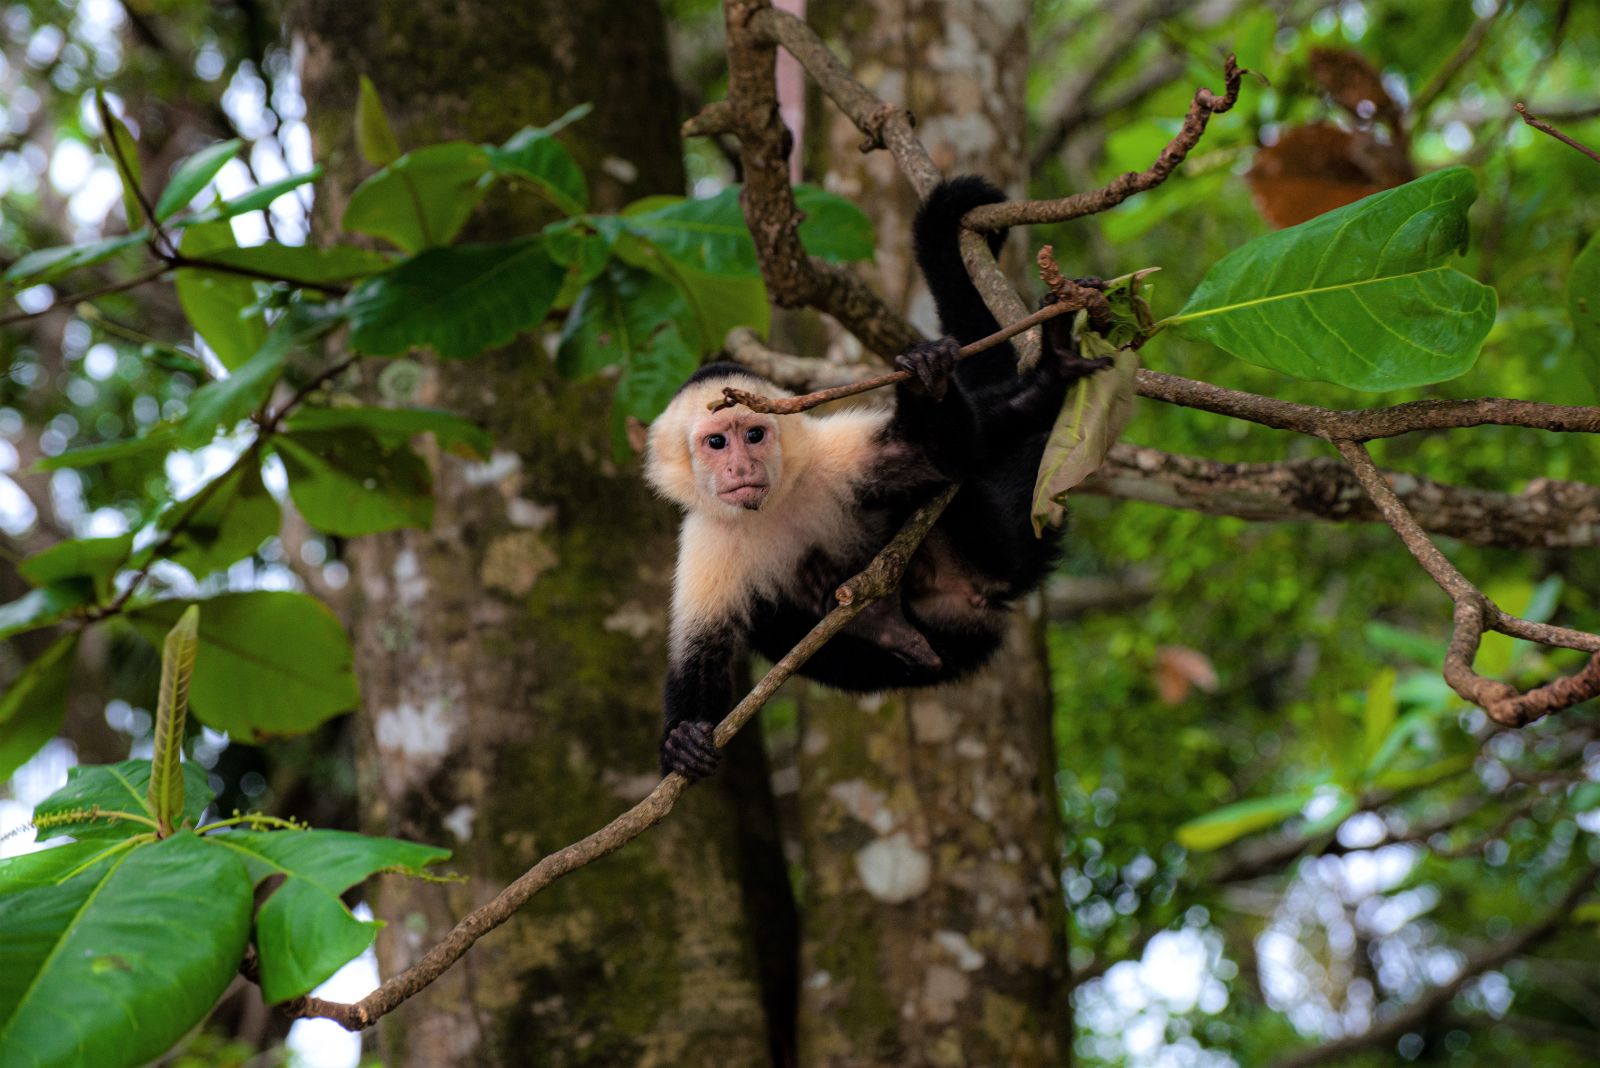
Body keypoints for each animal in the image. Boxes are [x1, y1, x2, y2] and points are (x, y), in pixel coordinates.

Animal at [645, 176, 1111, 780]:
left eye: (754, 434)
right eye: (716, 443)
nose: (741, 467)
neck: (773, 505)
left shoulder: (830, 456)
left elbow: (942, 455)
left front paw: (934, 380)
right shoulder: (707, 538)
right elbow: (700, 652)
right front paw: (680, 738)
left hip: (987, 556)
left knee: (963, 478)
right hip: (947, 644)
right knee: (771, 616)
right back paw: (886, 629)